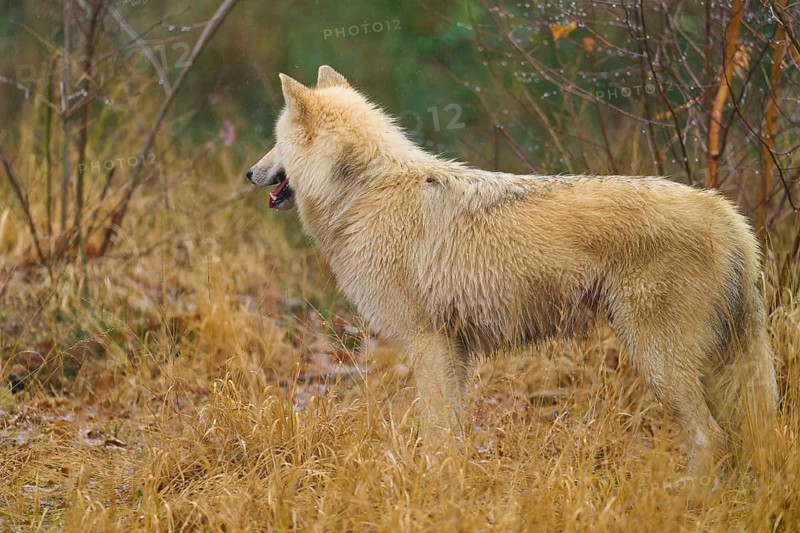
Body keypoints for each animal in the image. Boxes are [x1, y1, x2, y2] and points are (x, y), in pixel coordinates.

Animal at [246, 65, 778, 475]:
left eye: (274, 142)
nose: (250, 173)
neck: (365, 192)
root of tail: (725, 211)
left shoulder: (428, 342)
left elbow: (435, 431)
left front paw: (432, 484)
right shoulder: (454, 351)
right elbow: (452, 429)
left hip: (659, 361)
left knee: (712, 438)